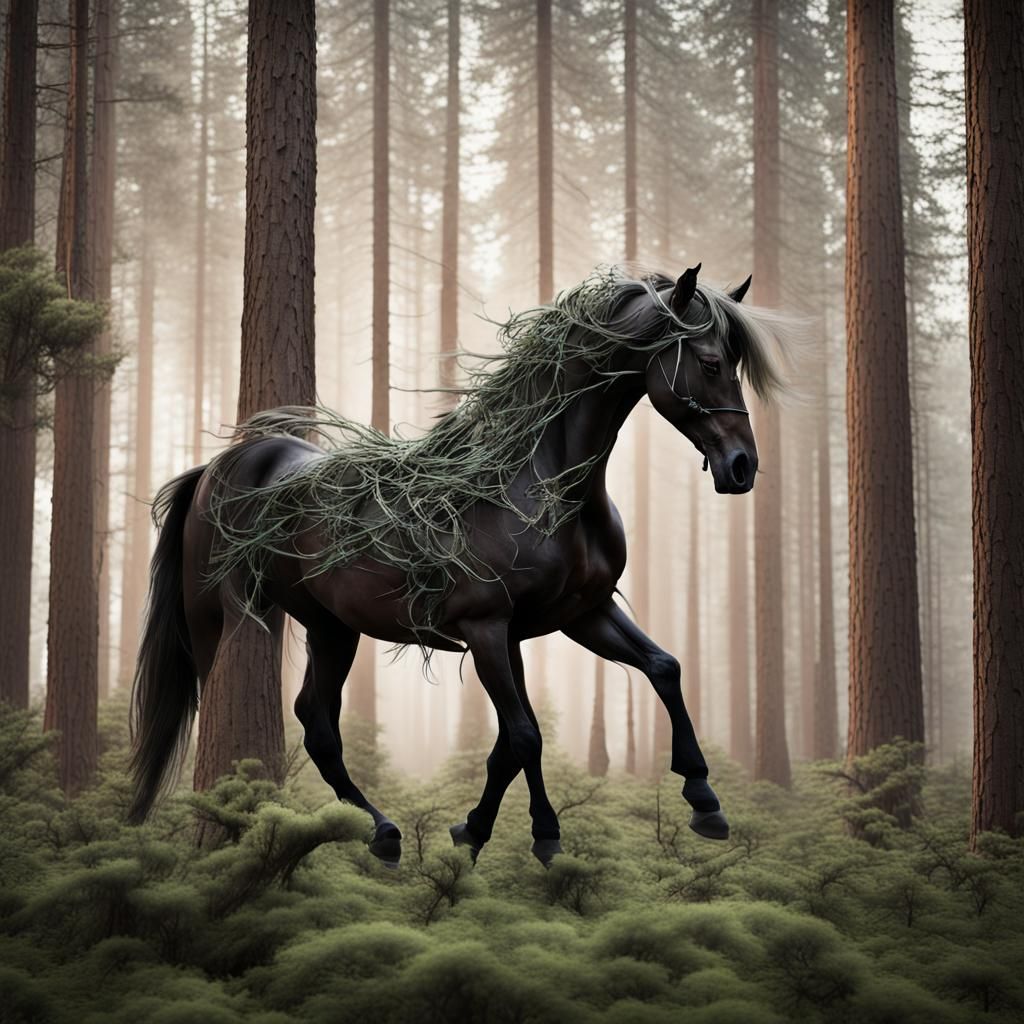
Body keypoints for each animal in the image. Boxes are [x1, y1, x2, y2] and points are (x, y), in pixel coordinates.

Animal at [127, 263, 787, 867]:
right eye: (710, 364)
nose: (742, 467)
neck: (541, 481)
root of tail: (224, 466)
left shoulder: (577, 616)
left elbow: (656, 672)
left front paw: (702, 798)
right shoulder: (488, 628)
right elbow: (524, 735)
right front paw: (529, 834)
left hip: (332, 628)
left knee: (318, 724)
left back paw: (383, 833)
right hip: (221, 620)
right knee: (230, 704)